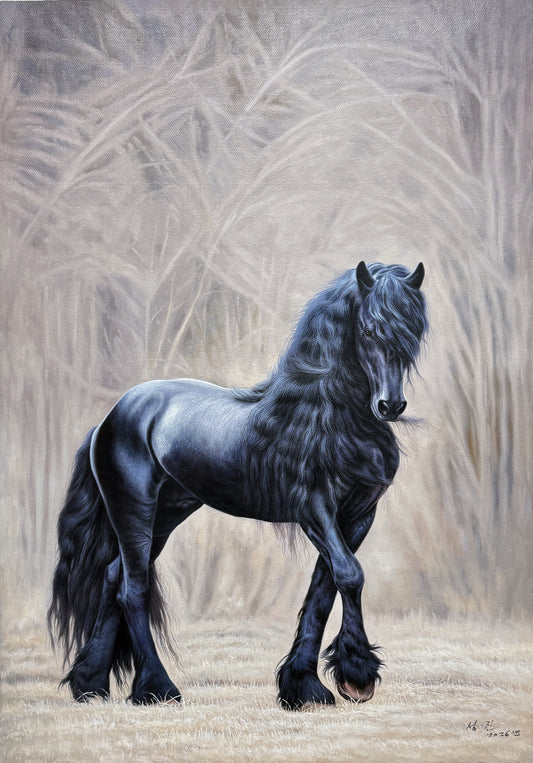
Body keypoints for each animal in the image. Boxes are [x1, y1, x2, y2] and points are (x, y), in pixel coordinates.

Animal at [48, 260, 427, 710]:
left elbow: (325, 588)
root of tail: (111, 417)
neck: (327, 418)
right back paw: (157, 688)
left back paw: (90, 684)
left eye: (414, 330)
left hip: (166, 515)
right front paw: (356, 676)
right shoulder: (314, 510)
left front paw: (304, 686)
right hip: (133, 510)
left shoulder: (357, 514)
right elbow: (350, 575)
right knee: (133, 589)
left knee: (111, 578)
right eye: (368, 329)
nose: (390, 405)